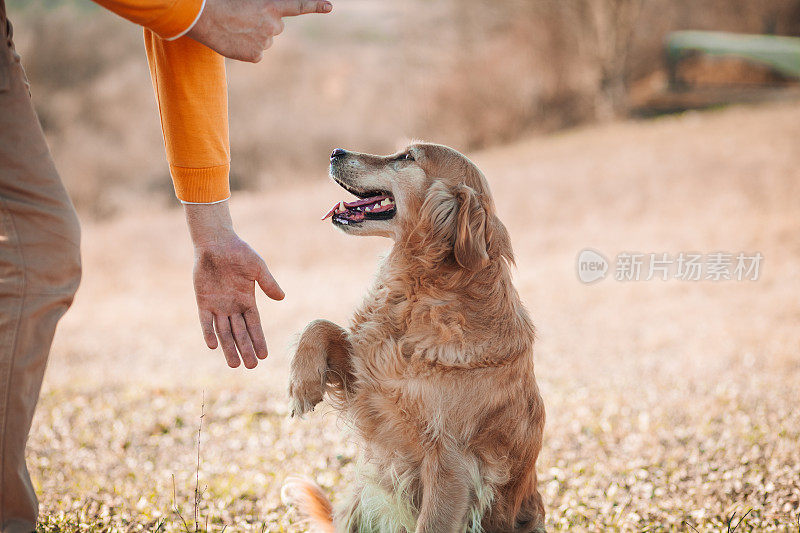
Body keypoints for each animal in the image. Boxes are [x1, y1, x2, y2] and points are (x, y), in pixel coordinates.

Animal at [282, 143, 544, 528]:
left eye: (407, 157)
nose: (335, 151)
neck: (419, 291)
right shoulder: (368, 384)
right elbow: (321, 325)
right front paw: (302, 384)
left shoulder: (451, 464)